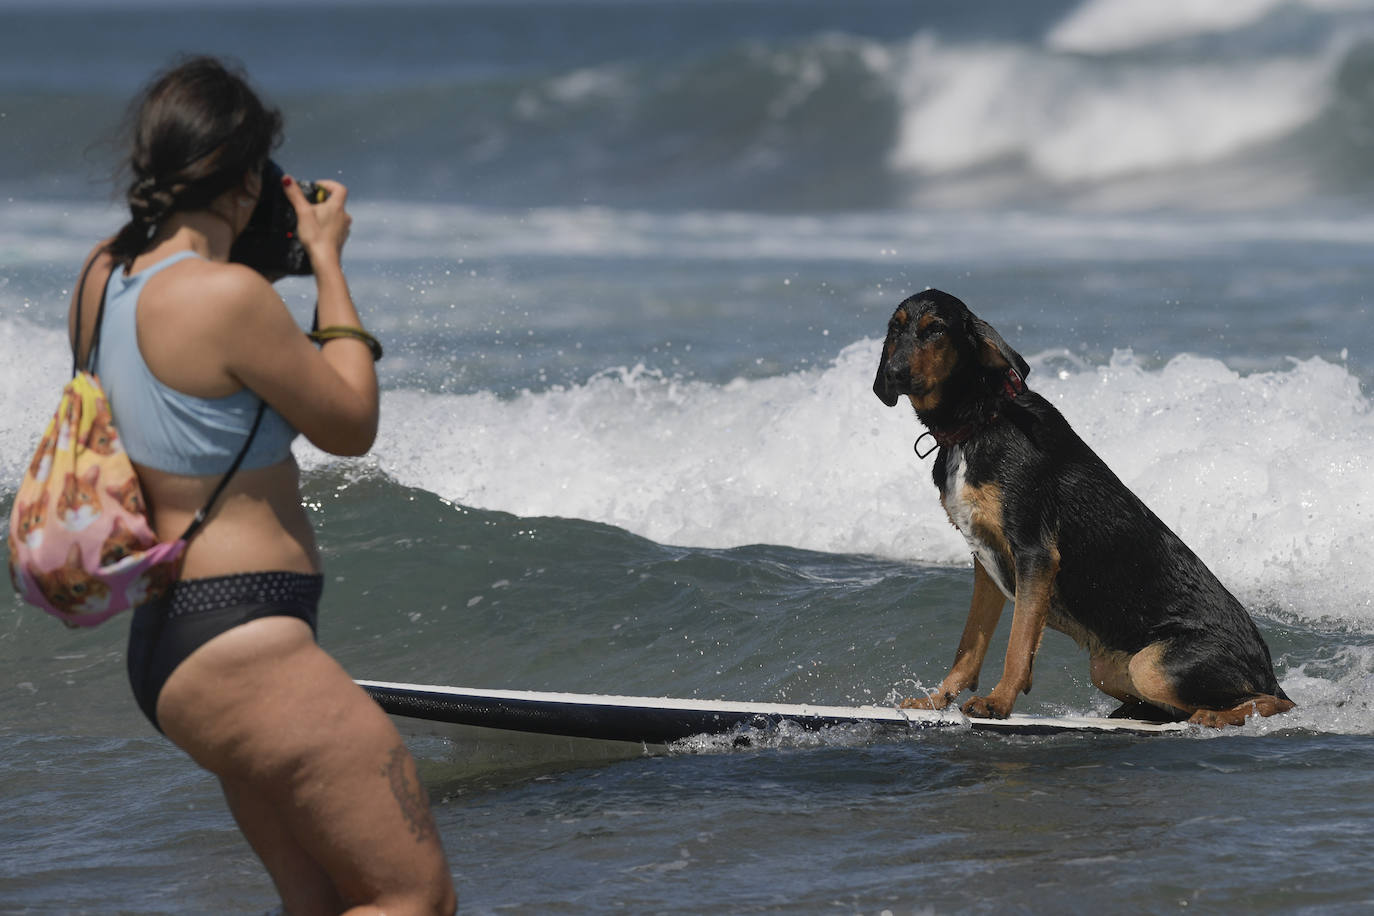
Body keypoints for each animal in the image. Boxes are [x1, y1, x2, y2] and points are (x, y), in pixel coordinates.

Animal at [873, 289, 1291, 725]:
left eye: (936, 330)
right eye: (895, 330)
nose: (894, 373)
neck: (978, 419)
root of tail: (1269, 672)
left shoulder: (1035, 553)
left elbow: (1017, 645)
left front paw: (998, 702)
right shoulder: (985, 561)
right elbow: (969, 646)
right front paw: (937, 701)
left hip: (1152, 665)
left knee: (1275, 702)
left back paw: (1215, 716)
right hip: (1108, 668)